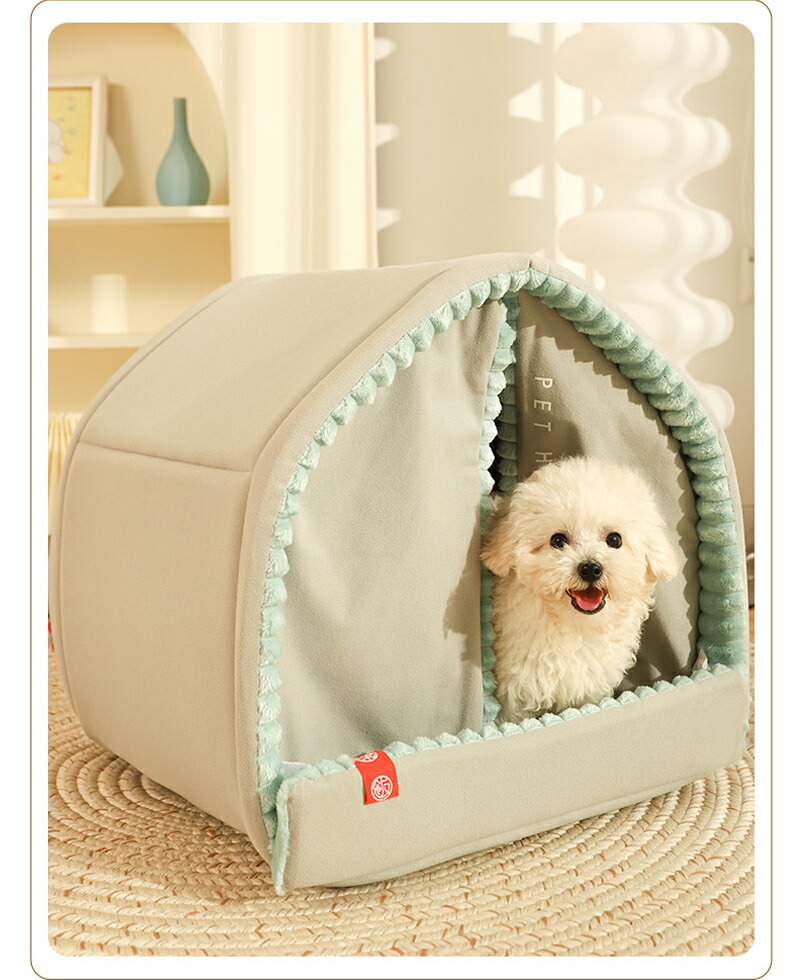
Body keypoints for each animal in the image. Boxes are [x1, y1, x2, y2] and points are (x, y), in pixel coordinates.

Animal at [480, 457, 679, 722]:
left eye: (614, 539)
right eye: (558, 540)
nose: (591, 568)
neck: (575, 628)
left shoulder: (589, 689)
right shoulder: (513, 695)